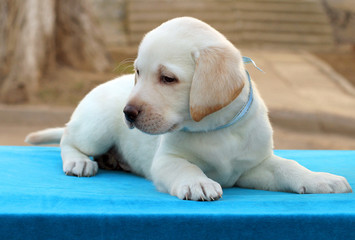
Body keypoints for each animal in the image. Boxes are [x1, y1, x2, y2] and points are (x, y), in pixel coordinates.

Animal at [25, 17, 354, 201]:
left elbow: (289, 166)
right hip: (95, 129)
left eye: (167, 78)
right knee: (68, 139)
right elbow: (186, 166)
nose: (128, 113)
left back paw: (114, 161)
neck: (216, 128)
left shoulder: (255, 166)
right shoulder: (167, 160)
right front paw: (198, 183)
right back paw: (79, 162)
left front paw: (319, 179)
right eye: (138, 73)